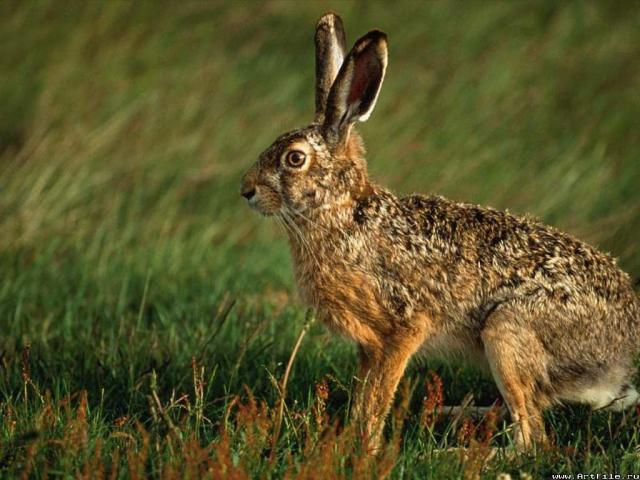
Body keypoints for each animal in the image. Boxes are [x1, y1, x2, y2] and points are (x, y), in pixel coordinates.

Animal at [240, 12, 640, 451]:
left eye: (294, 159)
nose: (246, 190)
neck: (342, 213)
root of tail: (621, 354)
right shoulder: (368, 346)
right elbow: (364, 393)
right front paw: (351, 438)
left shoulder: (403, 328)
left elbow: (377, 397)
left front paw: (368, 447)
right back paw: (448, 414)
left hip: (507, 331)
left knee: (532, 438)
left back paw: (460, 449)